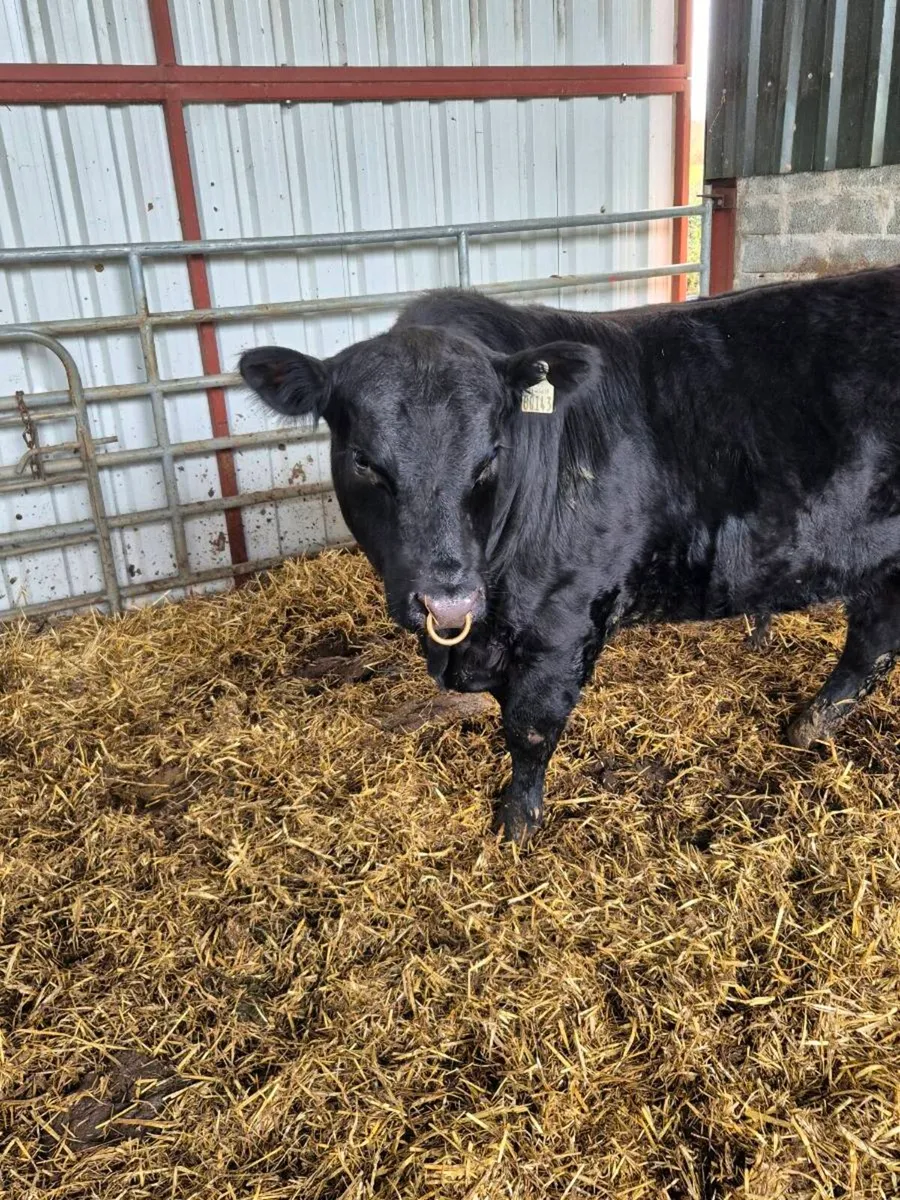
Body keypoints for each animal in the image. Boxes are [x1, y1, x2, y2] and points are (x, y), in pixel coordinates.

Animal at [239, 266, 900, 843]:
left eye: (491, 454)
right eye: (364, 462)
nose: (449, 602)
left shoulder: (564, 622)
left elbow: (530, 730)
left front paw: (517, 825)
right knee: (872, 643)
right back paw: (807, 728)